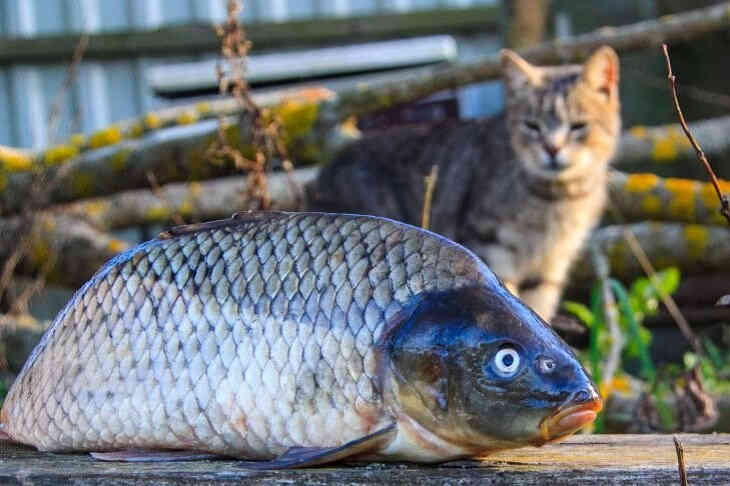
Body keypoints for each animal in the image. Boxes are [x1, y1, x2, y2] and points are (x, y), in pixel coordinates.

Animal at [308, 44, 620, 318]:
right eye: (532, 126)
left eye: (578, 126)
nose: (552, 149)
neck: (554, 199)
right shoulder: (490, 245)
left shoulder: (550, 267)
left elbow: (538, 310)